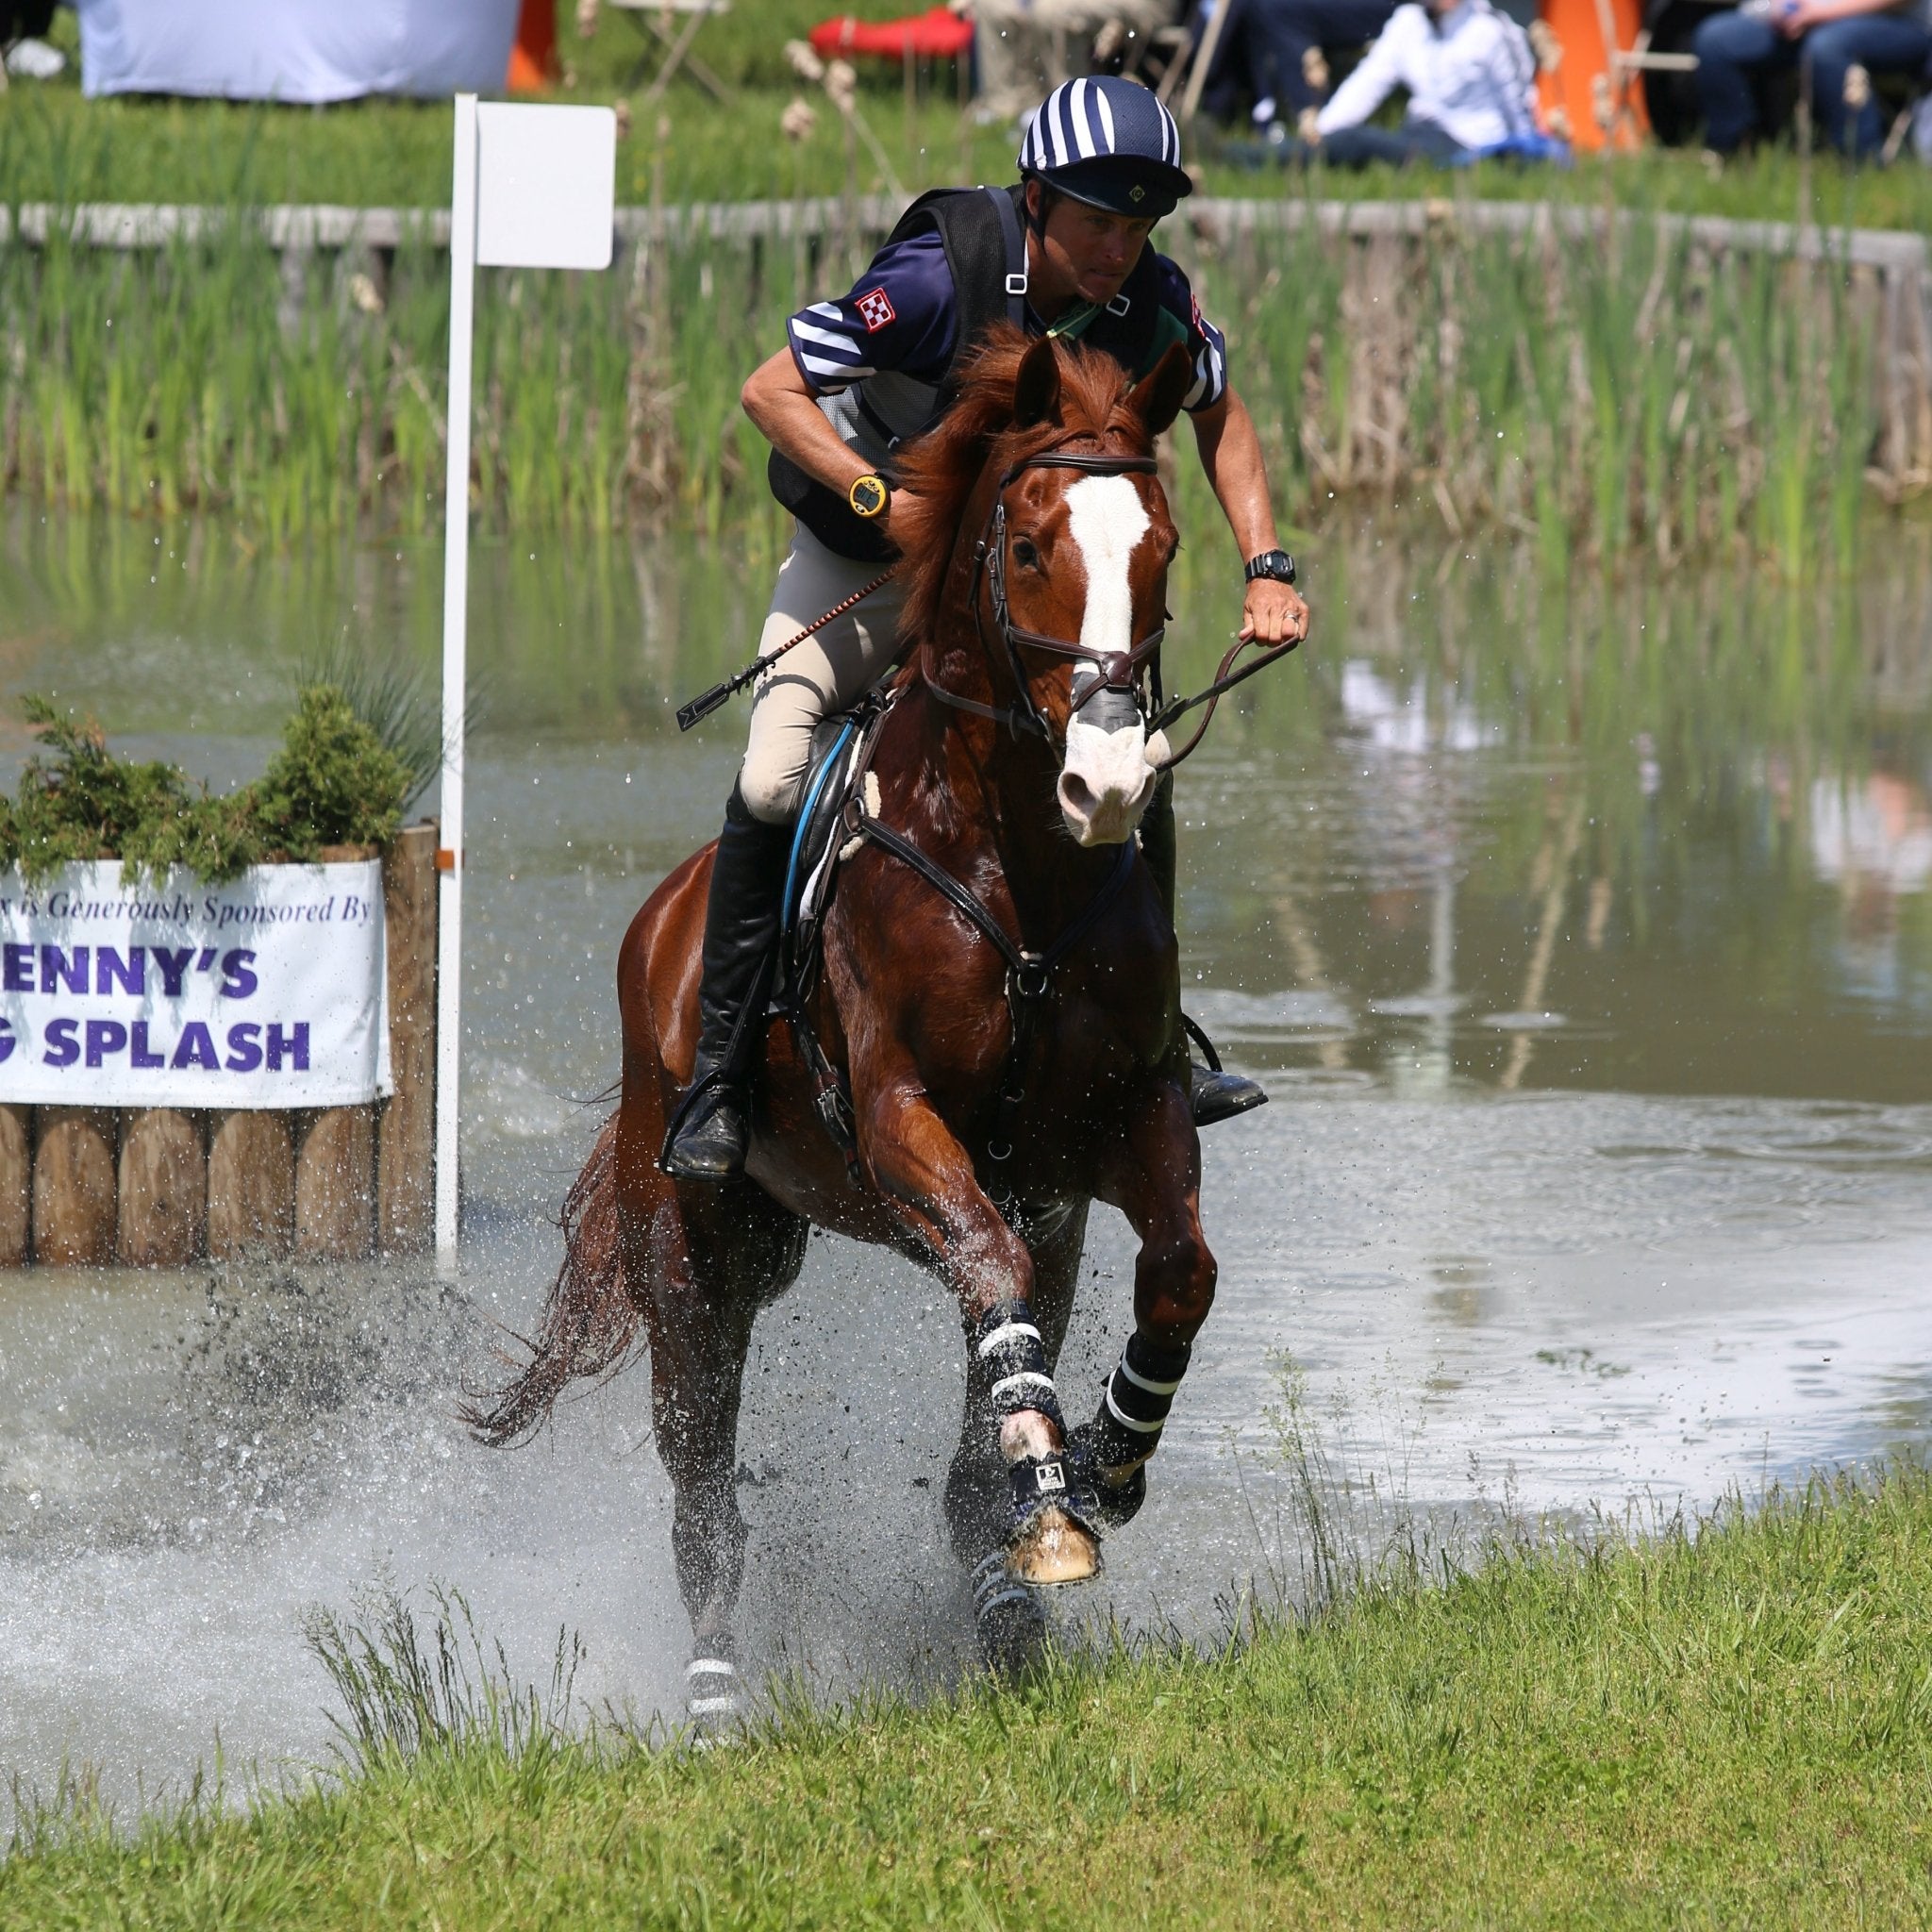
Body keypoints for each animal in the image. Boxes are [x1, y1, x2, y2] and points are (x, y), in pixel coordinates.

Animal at [469, 332, 1213, 1723]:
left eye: (1164, 548)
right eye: (1028, 545)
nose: (1108, 784)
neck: (1016, 861)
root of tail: (661, 923)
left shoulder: (1121, 1118)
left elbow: (1175, 1272)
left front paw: (1105, 1457)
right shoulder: (898, 1120)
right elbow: (985, 1262)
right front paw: (1052, 1495)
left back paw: (1008, 1605)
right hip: (689, 1263)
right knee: (705, 1503)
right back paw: (714, 1703)